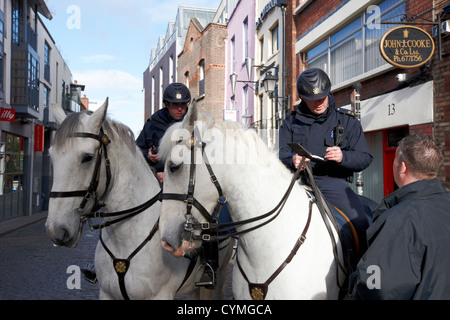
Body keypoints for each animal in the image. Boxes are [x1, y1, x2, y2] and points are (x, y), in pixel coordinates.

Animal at [45, 99, 232, 298]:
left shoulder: (161, 295)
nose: (56, 230)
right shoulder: (107, 294)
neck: (126, 238)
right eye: (51, 156)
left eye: (87, 158)